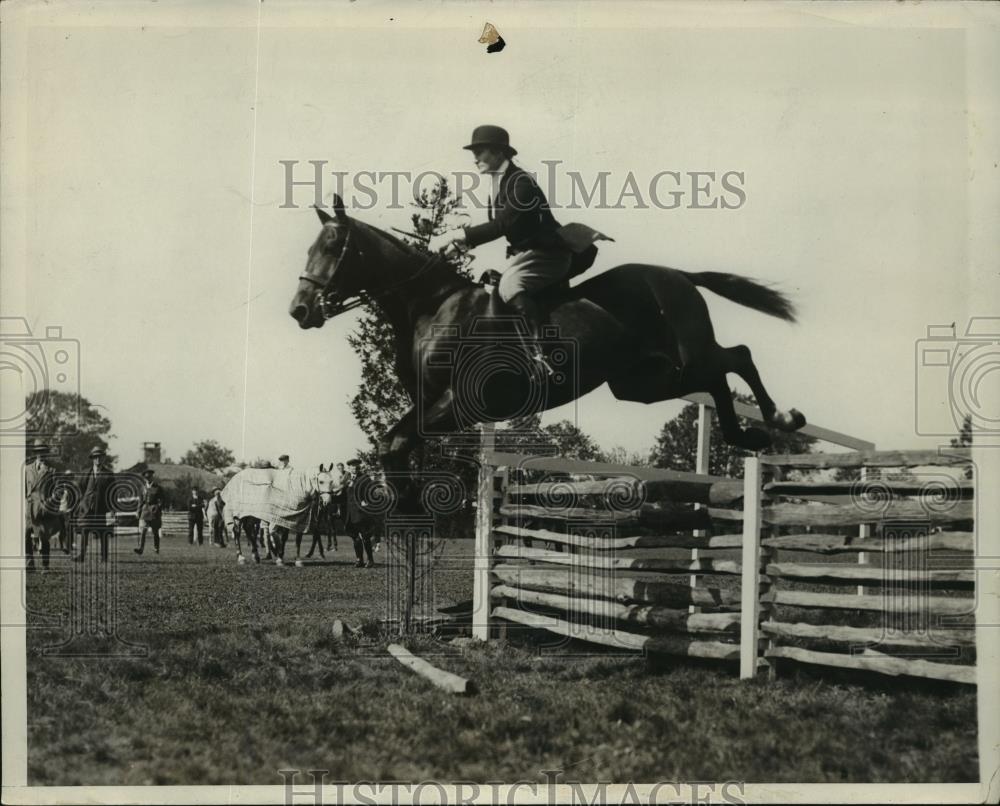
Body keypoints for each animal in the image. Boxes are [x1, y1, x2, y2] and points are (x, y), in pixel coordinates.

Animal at [288, 200, 804, 480]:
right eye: (308, 249)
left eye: (332, 248)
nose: (300, 310)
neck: (431, 307)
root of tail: (678, 274)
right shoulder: (429, 402)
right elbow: (391, 443)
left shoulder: (461, 402)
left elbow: (395, 442)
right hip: (643, 383)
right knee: (718, 376)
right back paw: (749, 433)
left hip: (687, 354)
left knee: (736, 357)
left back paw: (781, 417)